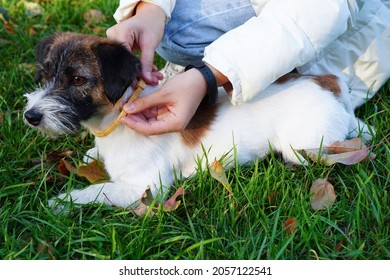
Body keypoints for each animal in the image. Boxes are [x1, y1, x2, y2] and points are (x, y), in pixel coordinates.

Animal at [22, 31, 370, 209]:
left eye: (78, 80)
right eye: (46, 74)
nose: (30, 116)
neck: (116, 117)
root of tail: (330, 84)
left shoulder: (147, 186)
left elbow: (100, 190)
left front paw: (65, 200)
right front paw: (91, 155)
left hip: (300, 146)